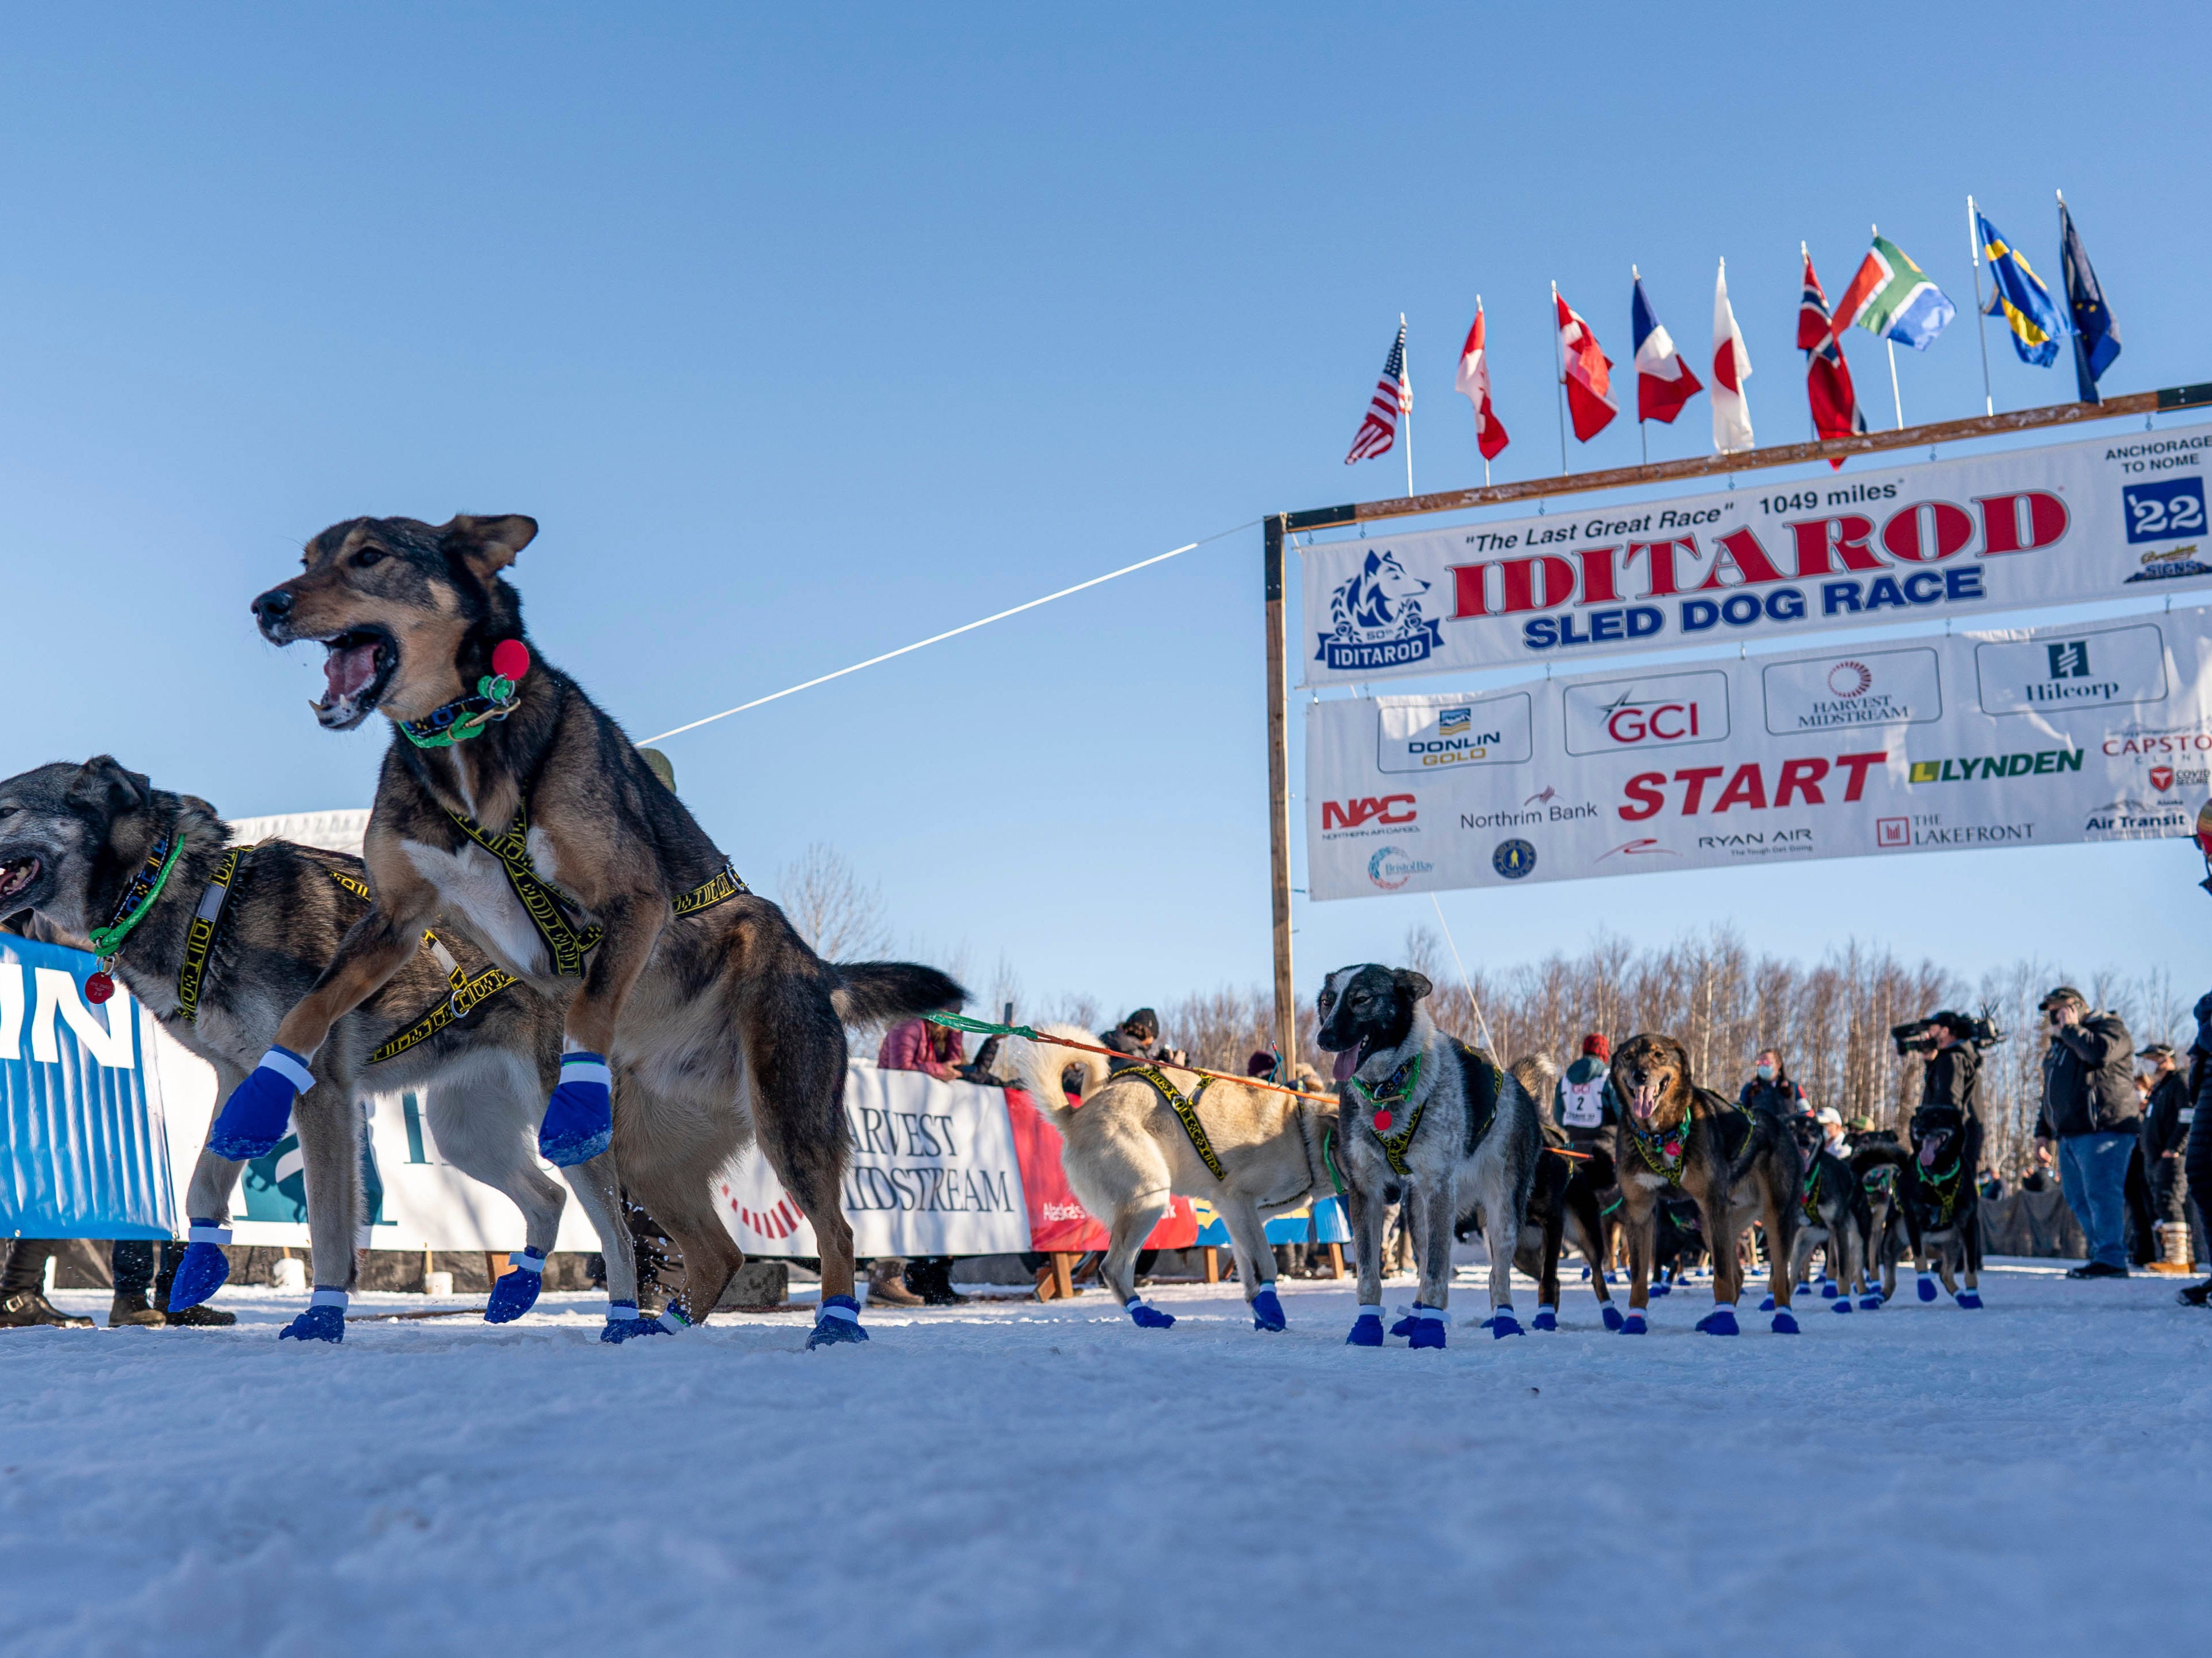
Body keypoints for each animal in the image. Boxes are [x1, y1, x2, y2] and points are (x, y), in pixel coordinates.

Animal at [0, 760, 632, 1344]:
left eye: (5, 808)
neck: (192, 898)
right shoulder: (241, 1082)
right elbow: (204, 1179)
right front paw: (202, 1264)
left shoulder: (321, 1090)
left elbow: (328, 1224)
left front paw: (323, 1315)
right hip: (464, 1134)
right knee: (550, 1196)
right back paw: (519, 1286)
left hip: (558, 1122)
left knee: (617, 1232)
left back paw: (627, 1319)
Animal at [1008, 1025, 1344, 1335]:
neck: (1306, 1136)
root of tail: (1077, 1115)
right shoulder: (1236, 1200)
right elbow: (1266, 1263)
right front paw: (1272, 1311)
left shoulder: (1244, 1216)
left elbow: (1251, 1273)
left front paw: (1262, 1311)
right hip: (1148, 1200)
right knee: (1113, 1268)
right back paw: (1145, 1315)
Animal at [1309, 972, 1539, 1353]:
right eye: (1328, 1001)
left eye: (1361, 999)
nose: (1324, 1038)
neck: (1388, 1089)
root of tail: (1518, 1085)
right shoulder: (1366, 1189)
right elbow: (1369, 1274)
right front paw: (1367, 1327)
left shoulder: (1439, 1186)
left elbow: (1437, 1273)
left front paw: (1432, 1331)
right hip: (1417, 1209)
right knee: (1425, 1255)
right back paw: (1413, 1316)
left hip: (1501, 1211)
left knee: (1497, 1275)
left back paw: (1505, 1322)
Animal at [1619, 1038, 1804, 1335]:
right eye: (1627, 1056)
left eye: (1659, 1055)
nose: (1640, 1075)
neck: (1662, 1136)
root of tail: (1781, 1125)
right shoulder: (1640, 1210)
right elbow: (1639, 1278)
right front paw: (1635, 1321)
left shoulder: (1713, 1204)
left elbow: (1722, 1277)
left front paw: (1726, 1322)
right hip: (1713, 1224)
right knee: (1737, 1273)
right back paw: (1714, 1317)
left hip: (1772, 1219)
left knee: (1778, 1279)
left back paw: (1782, 1318)